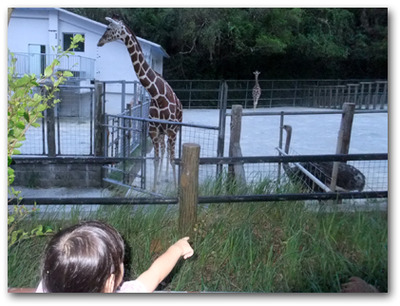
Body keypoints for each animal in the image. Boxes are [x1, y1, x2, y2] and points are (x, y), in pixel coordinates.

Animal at [97, 15, 182, 191]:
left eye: (108, 28)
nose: (99, 42)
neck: (157, 95)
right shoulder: (154, 130)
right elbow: (156, 159)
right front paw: (154, 188)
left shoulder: (171, 131)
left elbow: (172, 159)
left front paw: (176, 188)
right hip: (163, 133)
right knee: (164, 150)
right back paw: (163, 178)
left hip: (175, 130)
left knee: (170, 153)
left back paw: (168, 178)